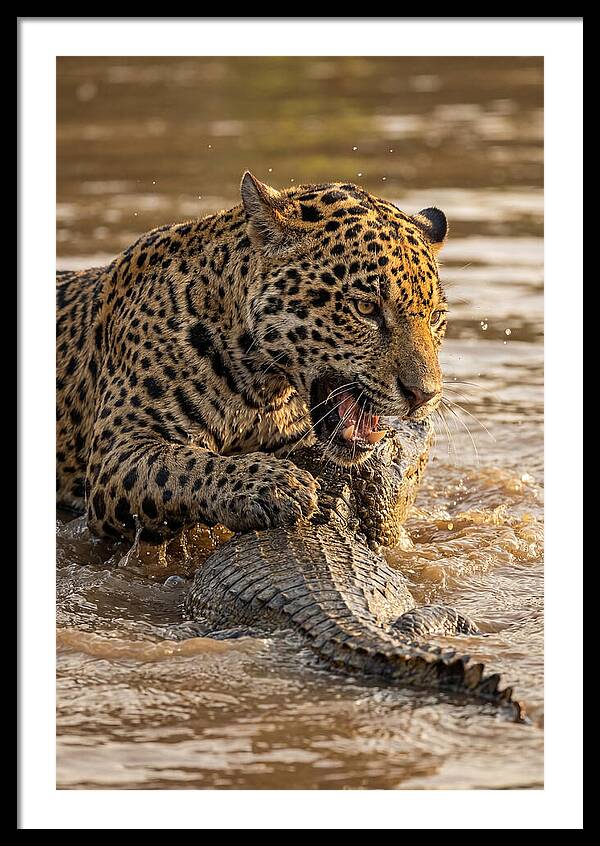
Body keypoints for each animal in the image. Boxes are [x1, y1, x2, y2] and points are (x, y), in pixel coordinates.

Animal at [56, 172, 449, 543]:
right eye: (366, 308)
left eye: (435, 317)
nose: (424, 395)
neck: (261, 387)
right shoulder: (118, 452)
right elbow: (182, 463)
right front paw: (274, 485)